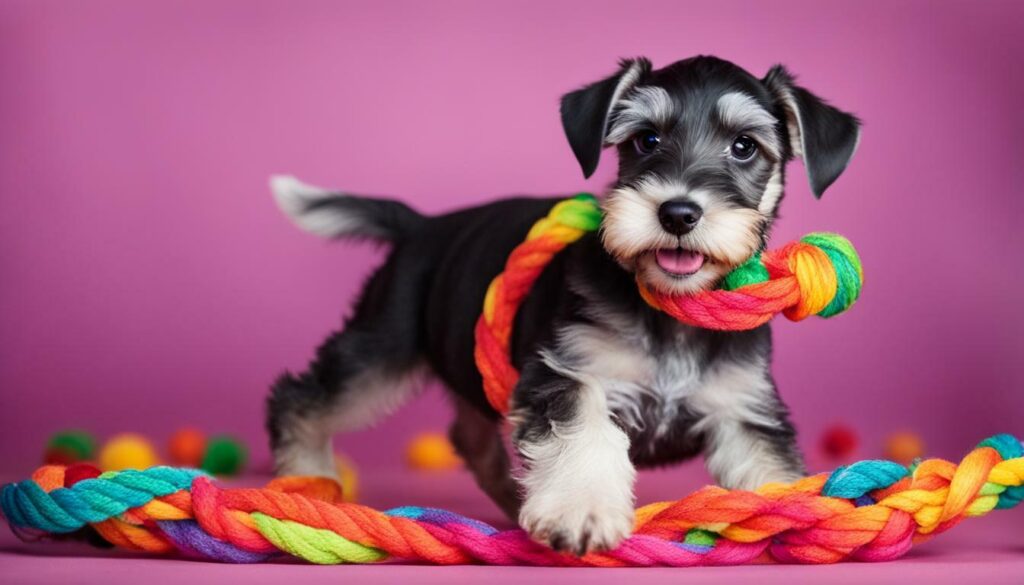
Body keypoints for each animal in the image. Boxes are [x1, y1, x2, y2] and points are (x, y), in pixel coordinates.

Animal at [268, 57, 860, 557]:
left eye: (744, 147)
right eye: (646, 140)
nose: (678, 213)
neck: (670, 312)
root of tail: (422, 226)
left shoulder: (745, 409)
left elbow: (769, 470)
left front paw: (794, 517)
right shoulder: (569, 375)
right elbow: (584, 438)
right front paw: (581, 511)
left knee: (470, 435)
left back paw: (517, 499)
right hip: (380, 350)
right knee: (300, 400)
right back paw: (307, 476)